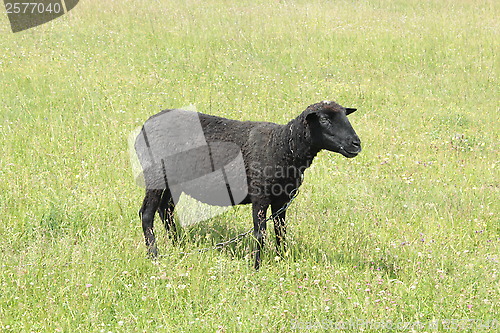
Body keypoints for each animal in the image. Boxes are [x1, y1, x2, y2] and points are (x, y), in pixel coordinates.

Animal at [135, 100, 362, 268]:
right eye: (324, 119)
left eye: (345, 116)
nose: (356, 144)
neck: (282, 145)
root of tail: (144, 126)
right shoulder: (259, 195)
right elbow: (260, 234)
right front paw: (256, 266)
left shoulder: (282, 200)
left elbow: (281, 231)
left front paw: (282, 258)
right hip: (156, 175)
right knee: (147, 213)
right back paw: (154, 255)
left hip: (174, 180)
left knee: (166, 210)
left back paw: (178, 244)